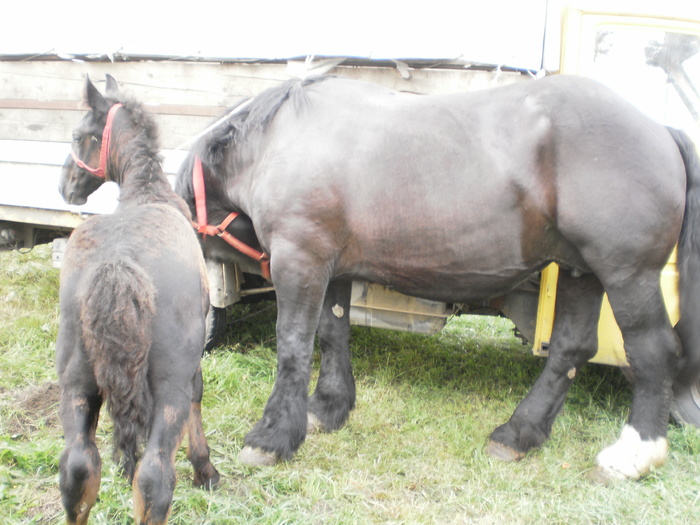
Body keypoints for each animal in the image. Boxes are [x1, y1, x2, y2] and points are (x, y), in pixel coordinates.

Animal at [59, 75, 220, 520]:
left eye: (77, 135)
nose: (64, 186)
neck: (147, 192)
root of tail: (120, 263)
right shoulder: (189, 368)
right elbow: (199, 395)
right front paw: (206, 470)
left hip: (76, 384)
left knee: (78, 468)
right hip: (168, 388)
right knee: (154, 479)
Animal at [175, 73, 700, 478]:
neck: (277, 144)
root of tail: (661, 129)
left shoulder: (301, 258)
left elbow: (293, 344)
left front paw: (273, 435)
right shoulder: (333, 266)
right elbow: (333, 332)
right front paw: (328, 408)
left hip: (626, 273)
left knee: (653, 351)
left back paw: (635, 453)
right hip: (580, 270)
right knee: (571, 349)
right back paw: (519, 434)